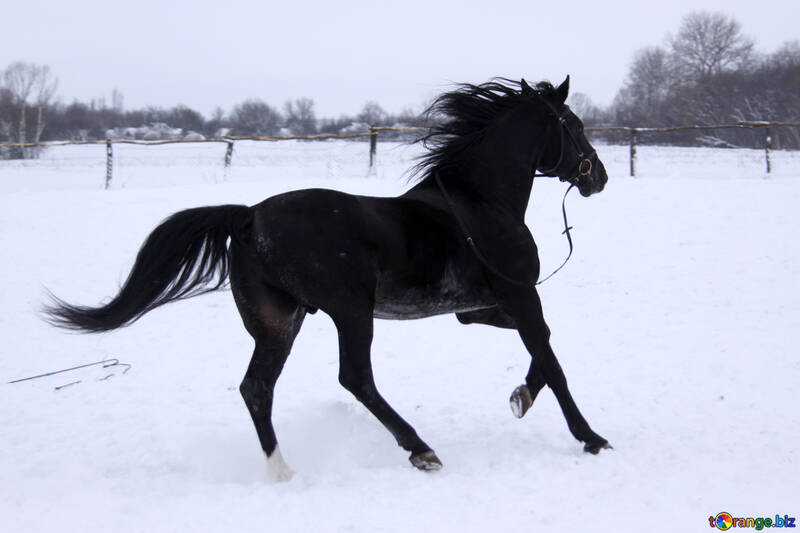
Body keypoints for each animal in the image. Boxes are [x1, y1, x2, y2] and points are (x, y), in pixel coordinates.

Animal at [45, 76, 608, 482]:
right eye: (575, 125)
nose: (597, 176)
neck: (482, 204)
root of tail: (249, 217)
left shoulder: (477, 310)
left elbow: (543, 349)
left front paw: (520, 397)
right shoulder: (520, 294)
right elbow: (552, 361)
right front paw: (590, 437)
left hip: (279, 322)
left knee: (257, 388)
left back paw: (282, 472)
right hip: (350, 312)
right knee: (354, 377)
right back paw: (421, 450)